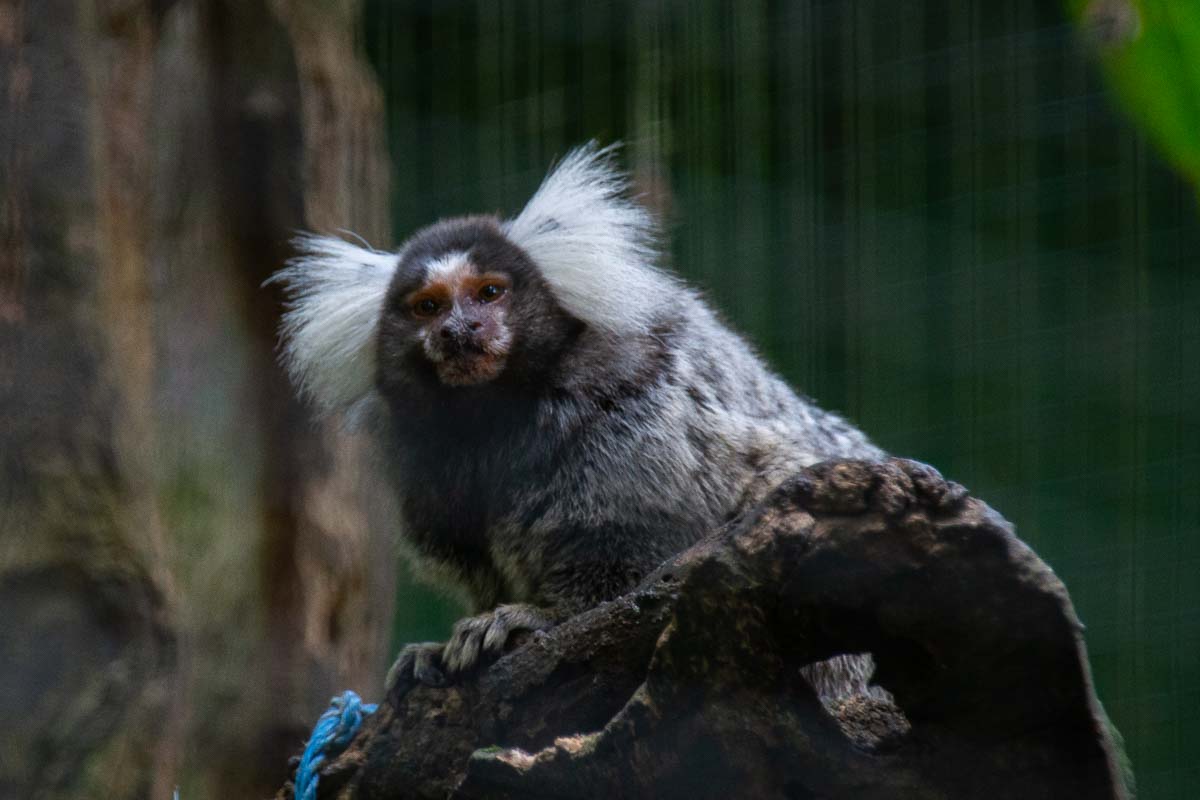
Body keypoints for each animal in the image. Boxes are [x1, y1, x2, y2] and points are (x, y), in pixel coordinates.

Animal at [270, 143, 884, 702]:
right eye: (428, 306)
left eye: (489, 293)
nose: (459, 330)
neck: (493, 415)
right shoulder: (427, 467)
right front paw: (440, 648)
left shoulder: (636, 408)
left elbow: (639, 556)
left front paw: (536, 616)